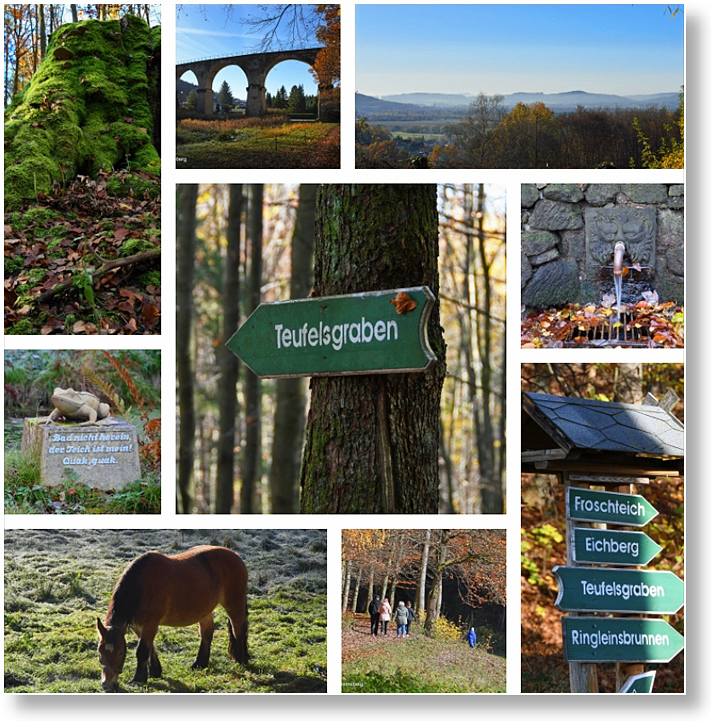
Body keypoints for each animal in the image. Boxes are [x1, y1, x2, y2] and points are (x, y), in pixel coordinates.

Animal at [97, 544, 248, 692]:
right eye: (100, 651)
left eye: (120, 652)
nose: (107, 685)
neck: (142, 585)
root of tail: (236, 556)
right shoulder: (137, 626)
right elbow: (150, 647)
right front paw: (155, 671)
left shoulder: (150, 624)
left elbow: (142, 650)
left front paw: (139, 678)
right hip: (204, 611)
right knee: (207, 632)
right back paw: (199, 664)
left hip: (234, 604)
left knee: (238, 630)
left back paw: (241, 660)